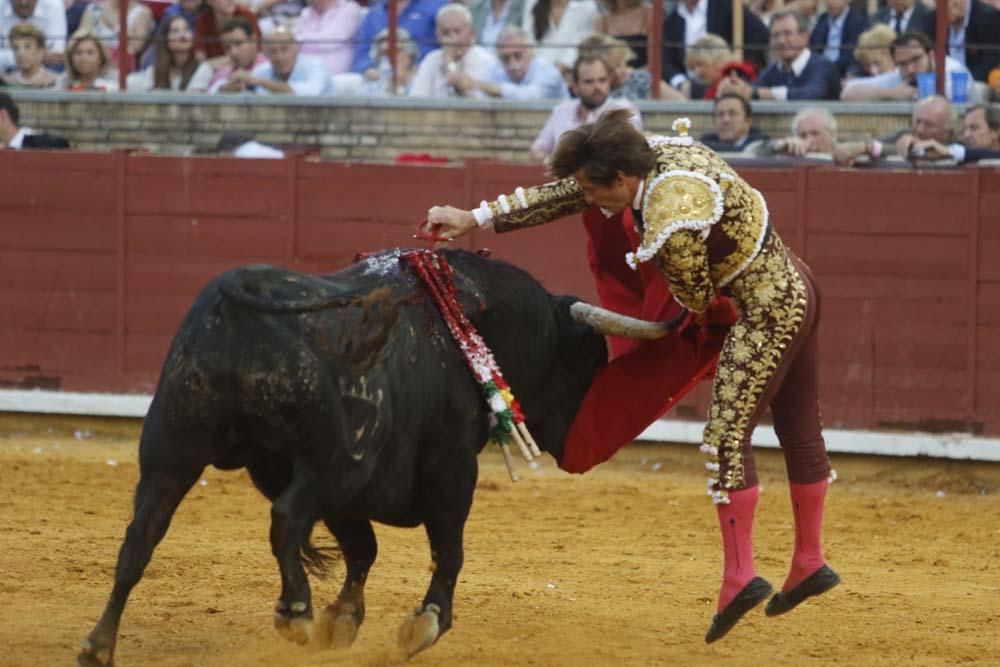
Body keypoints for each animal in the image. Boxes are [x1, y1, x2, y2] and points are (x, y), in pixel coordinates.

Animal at [80, 248, 672, 664]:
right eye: (589, 361)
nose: (583, 450)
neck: (472, 324)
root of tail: (246, 297)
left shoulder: (345, 489)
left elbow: (362, 549)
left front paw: (342, 618)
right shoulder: (450, 466)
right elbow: (447, 548)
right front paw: (424, 624)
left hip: (172, 454)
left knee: (139, 539)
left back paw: (99, 645)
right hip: (336, 463)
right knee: (285, 519)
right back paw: (295, 611)